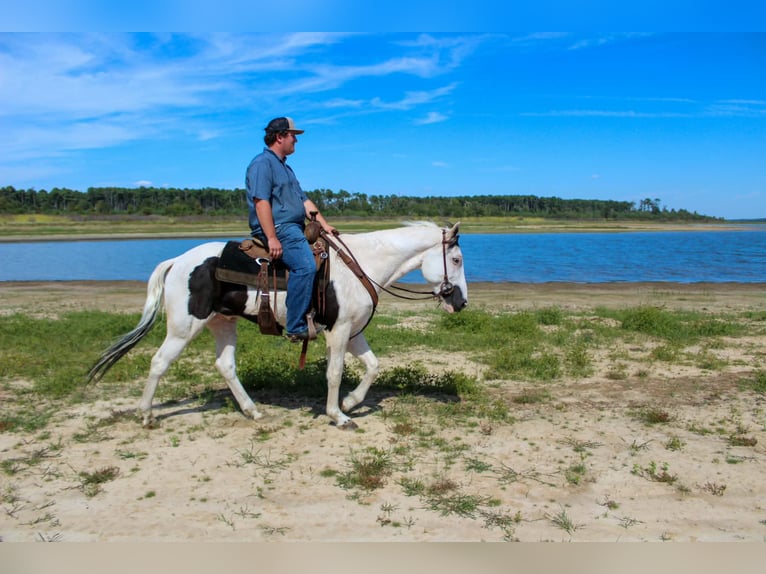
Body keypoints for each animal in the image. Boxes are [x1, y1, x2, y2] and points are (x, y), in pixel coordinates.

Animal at [87, 221, 468, 430]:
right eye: (456, 259)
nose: (460, 302)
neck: (360, 265)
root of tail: (178, 260)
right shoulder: (339, 331)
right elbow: (334, 373)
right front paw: (338, 415)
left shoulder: (353, 331)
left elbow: (373, 366)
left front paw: (350, 403)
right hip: (184, 327)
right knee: (159, 362)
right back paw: (147, 415)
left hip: (222, 323)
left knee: (225, 365)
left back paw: (253, 411)